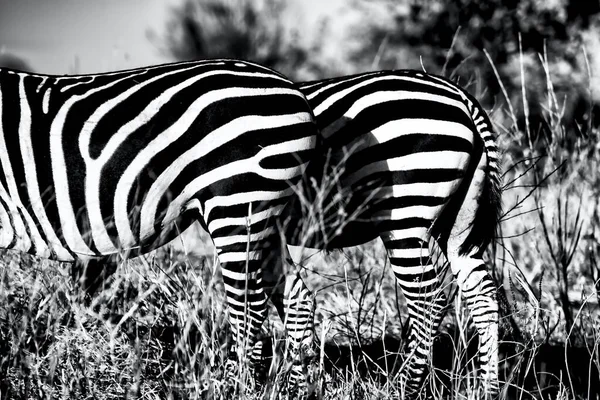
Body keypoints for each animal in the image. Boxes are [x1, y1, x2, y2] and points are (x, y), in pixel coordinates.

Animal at [0, 59, 318, 388]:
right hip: (266, 216)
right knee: (297, 299)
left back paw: (228, 387)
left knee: (249, 310)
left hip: (238, 203)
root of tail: (295, 90)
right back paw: (299, 387)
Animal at [254, 69, 502, 396]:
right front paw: (311, 379)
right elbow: (289, 300)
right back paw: (489, 388)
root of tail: (461, 97)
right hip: (459, 225)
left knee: (428, 301)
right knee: (482, 295)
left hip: (406, 215)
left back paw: (403, 387)